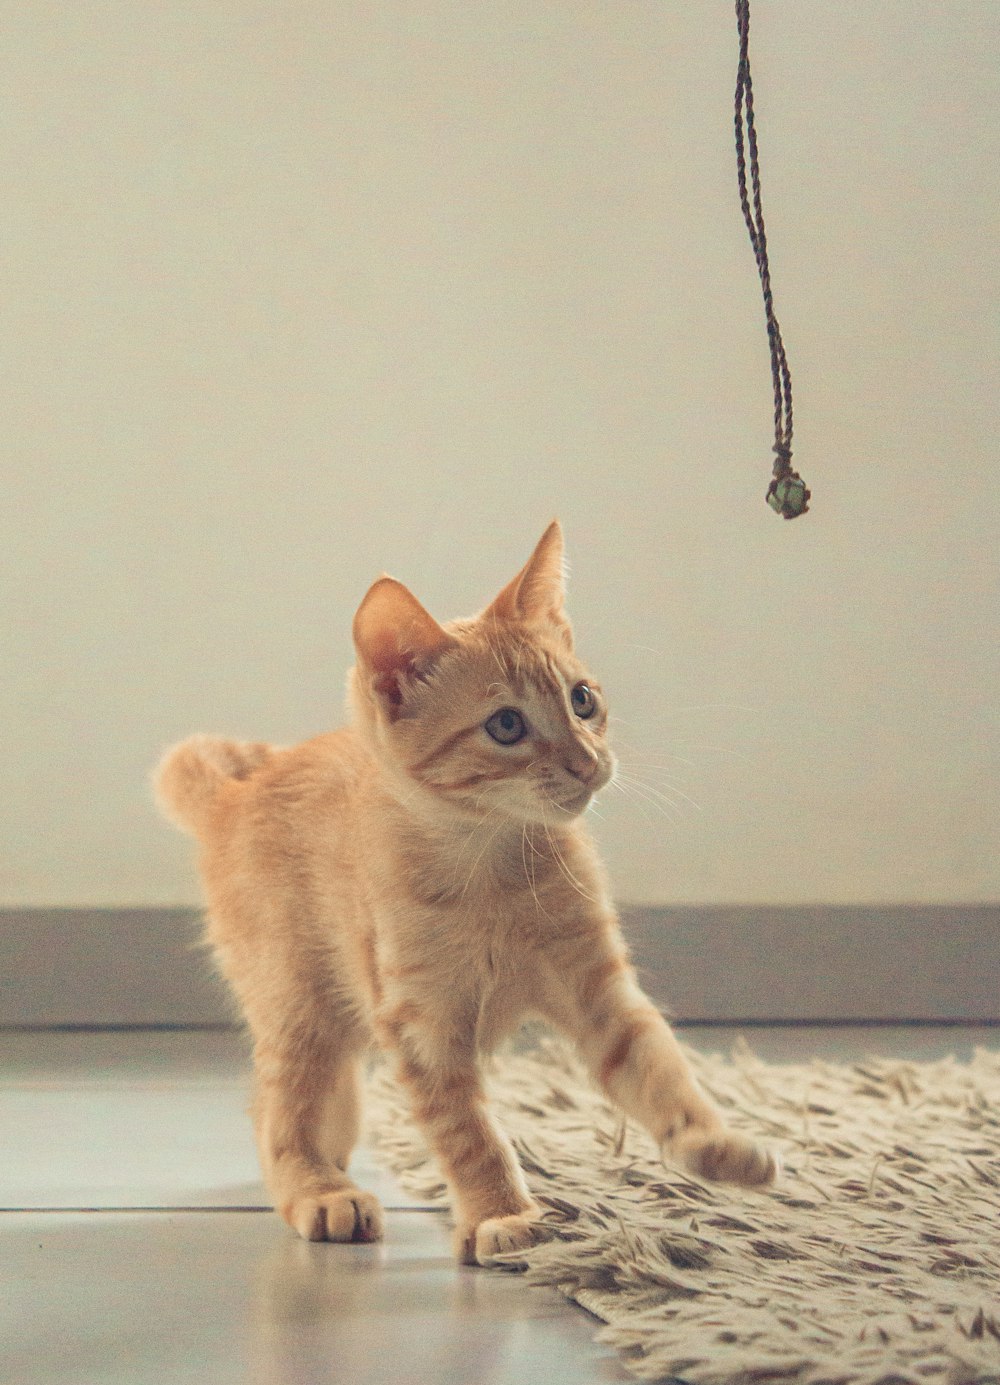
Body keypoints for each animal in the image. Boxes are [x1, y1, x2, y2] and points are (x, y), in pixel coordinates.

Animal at [153, 520, 770, 1268]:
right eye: (506, 725)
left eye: (582, 699)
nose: (588, 762)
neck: (496, 870)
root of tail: (237, 791)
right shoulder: (422, 1026)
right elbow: (467, 1130)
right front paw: (501, 1212)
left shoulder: (601, 992)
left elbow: (659, 1066)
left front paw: (712, 1142)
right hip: (297, 1001)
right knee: (279, 1110)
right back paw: (318, 1188)